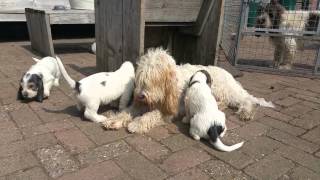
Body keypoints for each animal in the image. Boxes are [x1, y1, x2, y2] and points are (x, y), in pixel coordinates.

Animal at [103, 48, 276, 133]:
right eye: (141, 78)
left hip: (228, 90)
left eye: (154, 79)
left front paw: (137, 124)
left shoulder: (171, 109)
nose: (140, 95)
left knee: (247, 100)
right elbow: (127, 111)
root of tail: (228, 72)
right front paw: (114, 120)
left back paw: (246, 112)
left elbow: (152, 115)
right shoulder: (141, 105)